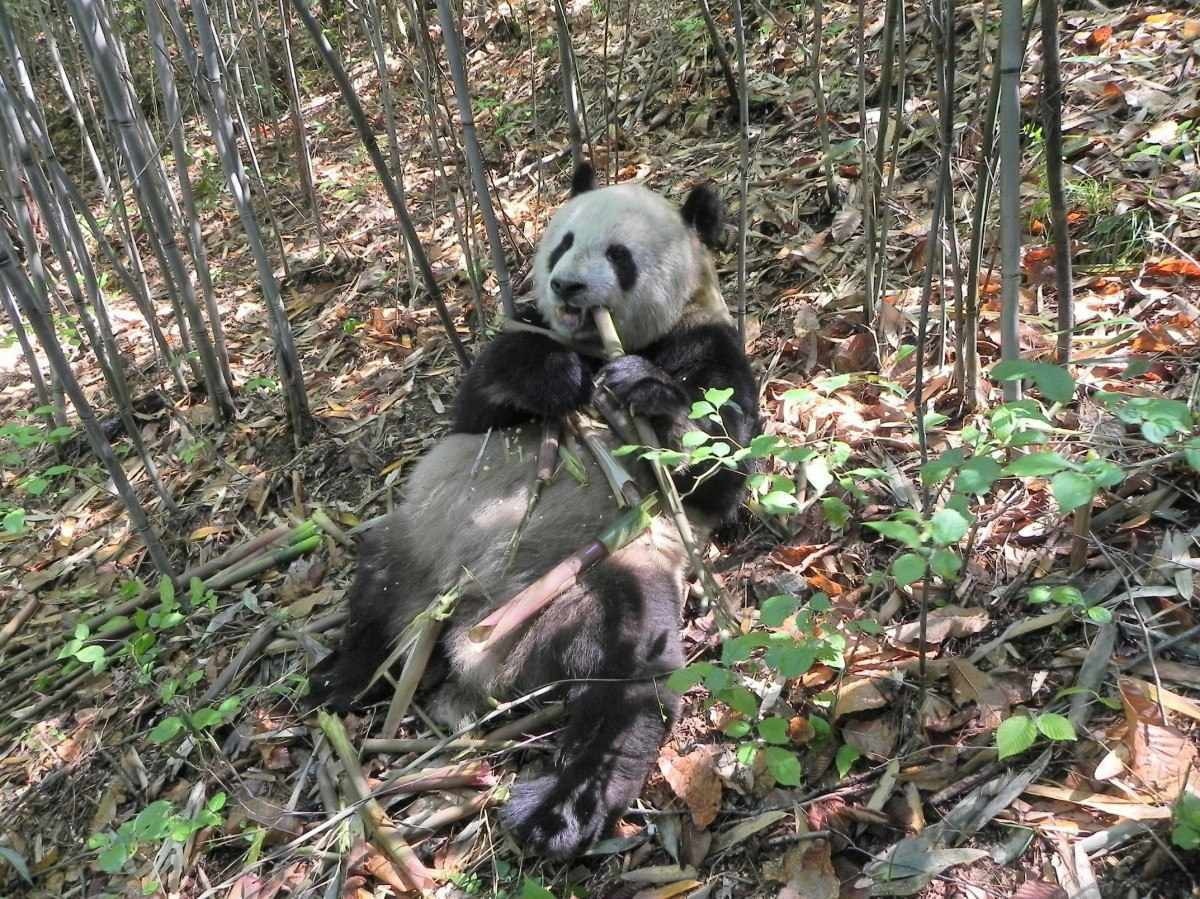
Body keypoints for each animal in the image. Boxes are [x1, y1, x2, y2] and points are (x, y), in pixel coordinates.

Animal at [312, 160, 758, 854]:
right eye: (564, 242)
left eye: (620, 255)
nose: (567, 284)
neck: (599, 347)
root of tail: (469, 642)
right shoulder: (517, 346)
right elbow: (480, 399)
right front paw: (557, 377)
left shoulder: (707, 340)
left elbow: (720, 469)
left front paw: (645, 389)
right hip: (422, 537)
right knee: (376, 586)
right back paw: (344, 675)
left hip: (586, 583)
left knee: (628, 673)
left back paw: (558, 811)